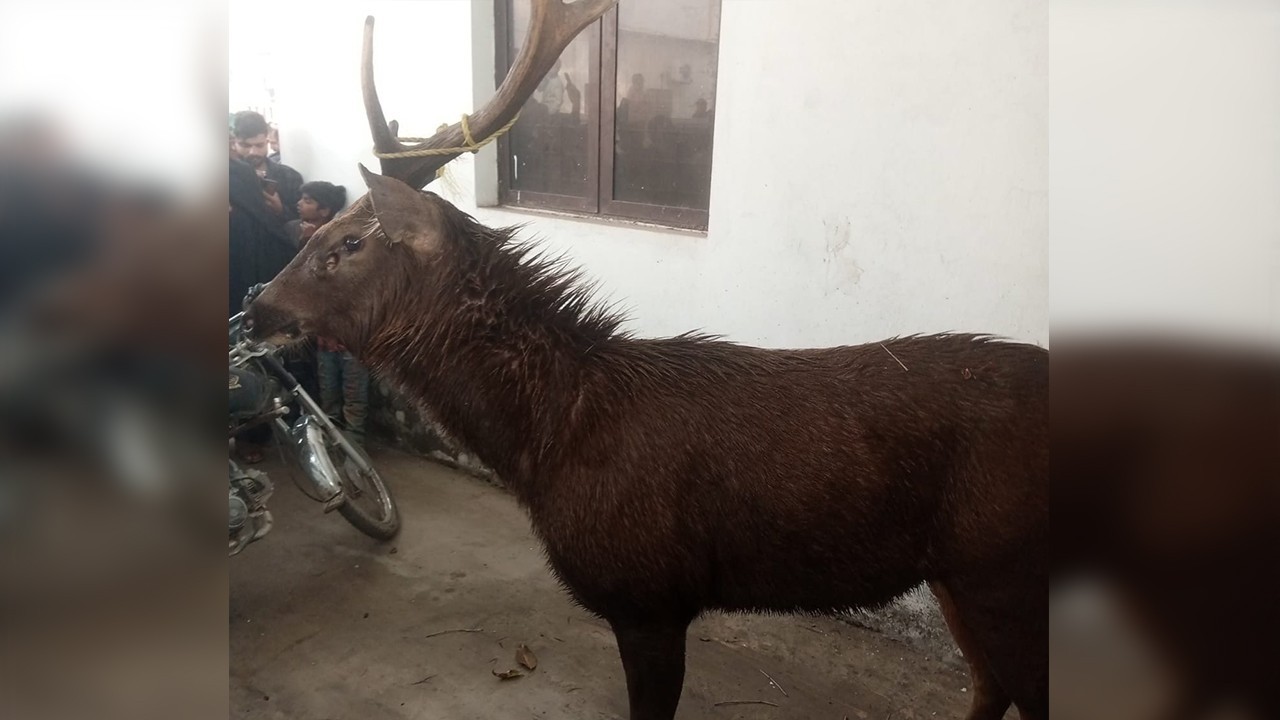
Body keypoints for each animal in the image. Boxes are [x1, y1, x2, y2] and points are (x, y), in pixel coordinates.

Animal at [242, 2, 1048, 718]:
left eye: (347, 243)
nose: (256, 308)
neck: (544, 448)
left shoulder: (649, 594)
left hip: (1002, 564)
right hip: (957, 571)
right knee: (990, 689)